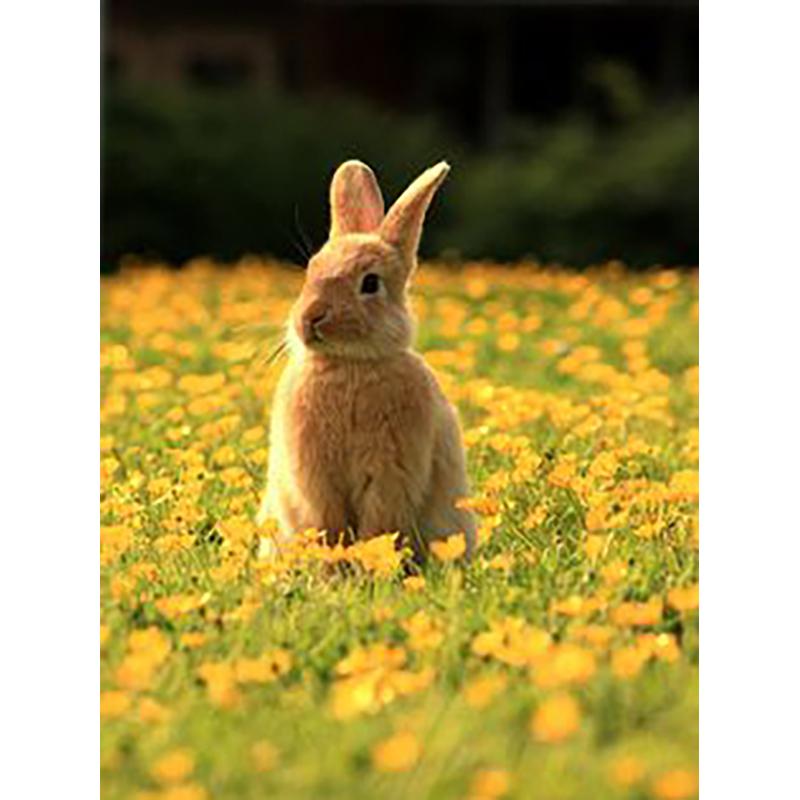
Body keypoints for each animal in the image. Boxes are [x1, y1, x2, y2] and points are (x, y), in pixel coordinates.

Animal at [256, 159, 476, 561]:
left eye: (370, 283)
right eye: (311, 271)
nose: (310, 318)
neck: (350, 366)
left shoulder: (391, 470)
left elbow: (378, 524)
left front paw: (368, 564)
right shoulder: (314, 475)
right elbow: (326, 521)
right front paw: (332, 566)